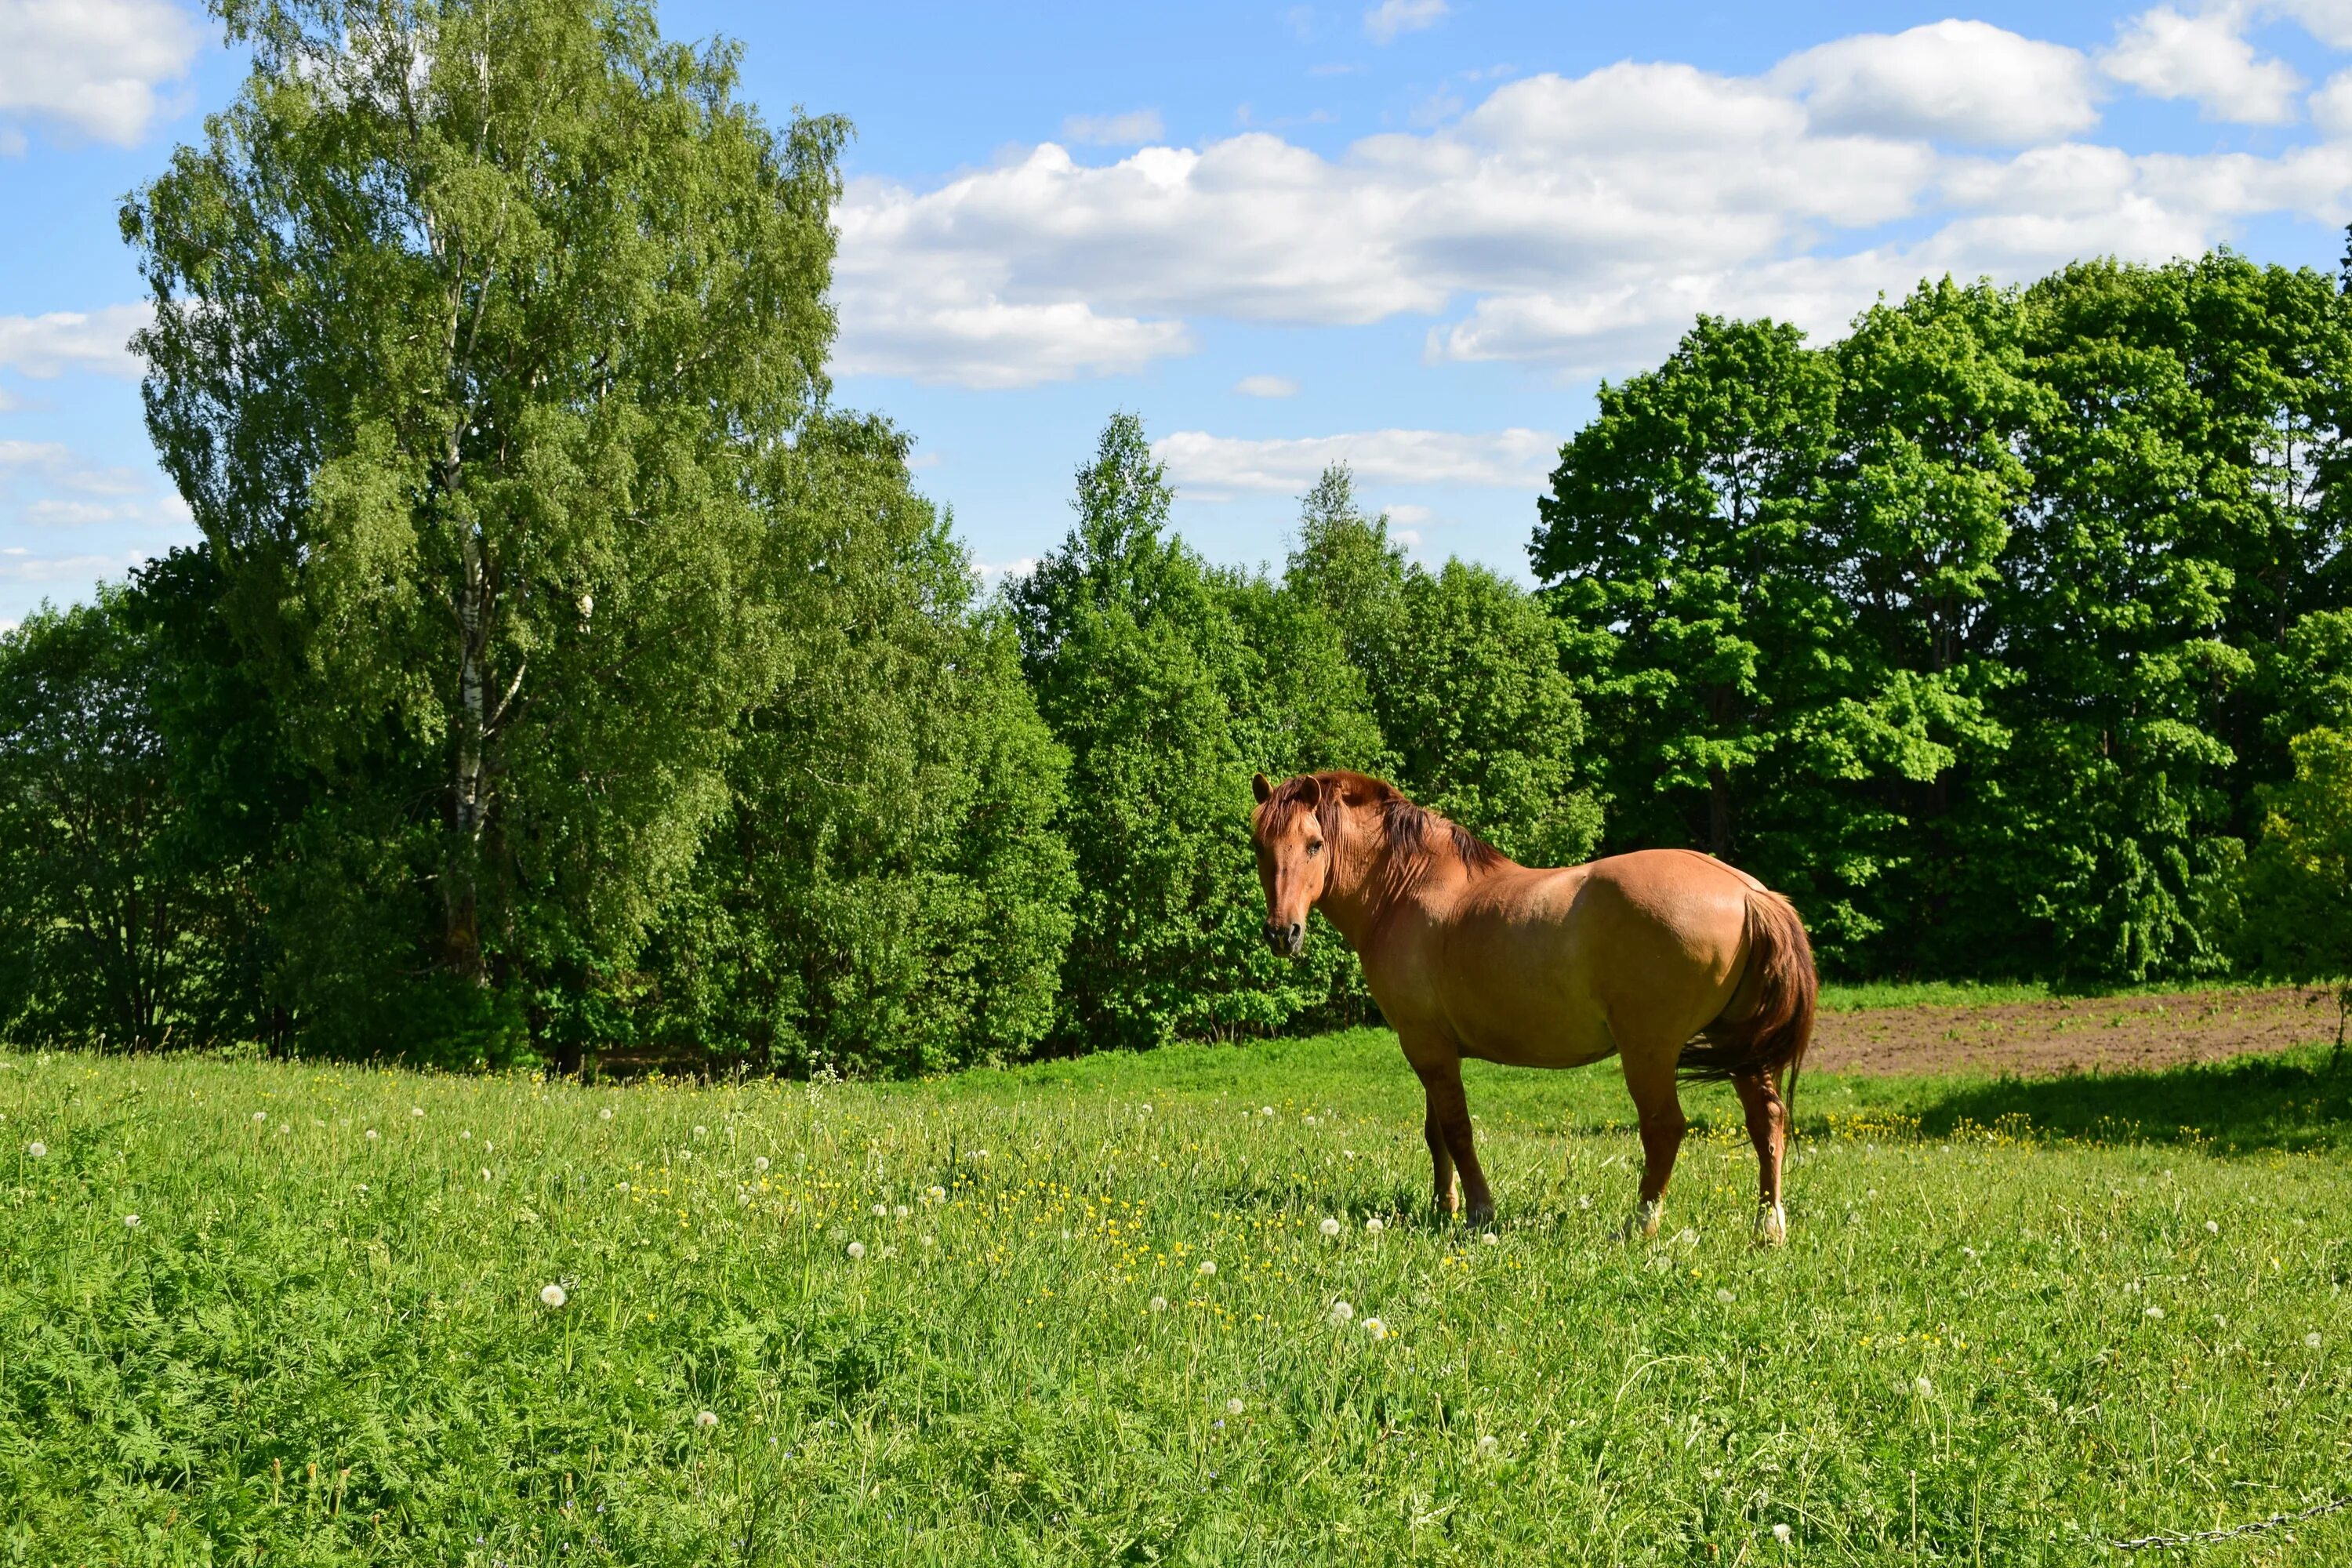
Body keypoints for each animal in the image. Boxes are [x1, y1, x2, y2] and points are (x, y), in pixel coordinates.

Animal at [1251, 771, 1816, 1241]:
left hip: (1649, 1051)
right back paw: (1768, 1227)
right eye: (1259, 845)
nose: (1283, 933)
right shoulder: (1433, 1047)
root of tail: (1750, 893)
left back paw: (1639, 1226)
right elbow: (1436, 1133)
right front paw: (1443, 1206)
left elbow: (1457, 1131)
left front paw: (1478, 1210)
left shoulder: (1425, 1045)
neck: (1405, 888)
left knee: (1665, 1128)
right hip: (1740, 1045)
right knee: (1766, 1120)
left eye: (1314, 844)